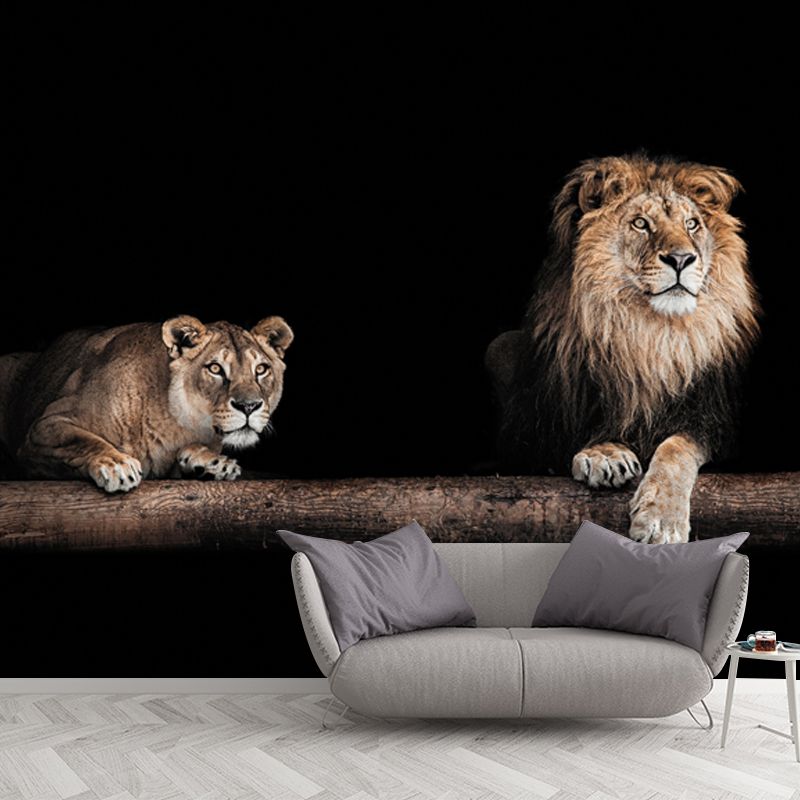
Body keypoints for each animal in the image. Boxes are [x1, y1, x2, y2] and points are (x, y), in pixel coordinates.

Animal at [0, 314, 293, 493]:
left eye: (261, 369)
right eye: (215, 368)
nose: (249, 406)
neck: (176, 422)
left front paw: (211, 464)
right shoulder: (46, 426)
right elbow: (83, 440)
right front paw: (115, 465)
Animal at [486, 154, 760, 544]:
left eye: (692, 224)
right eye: (640, 223)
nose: (682, 259)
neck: (646, 334)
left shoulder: (714, 420)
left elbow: (678, 446)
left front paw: (661, 520)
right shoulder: (531, 433)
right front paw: (605, 453)